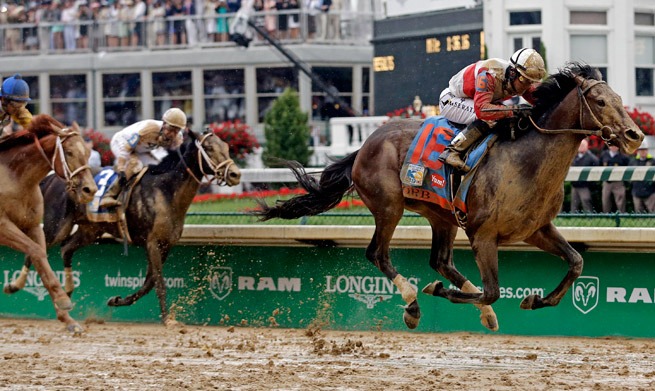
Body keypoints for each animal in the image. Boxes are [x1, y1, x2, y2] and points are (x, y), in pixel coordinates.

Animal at [0, 115, 97, 334]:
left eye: (88, 153)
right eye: (69, 152)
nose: (90, 190)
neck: (15, 179)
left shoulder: (34, 226)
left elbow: (39, 256)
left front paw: (67, 318)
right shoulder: (2, 227)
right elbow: (36, 251)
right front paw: (62, 298)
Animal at [5, 130, 241, 326]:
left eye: (227, 146)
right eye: (208, 148)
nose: (235, 174)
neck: (166, 191)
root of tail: (53, 177)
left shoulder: (166, 245)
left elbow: (148, 283)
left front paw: (116, 300)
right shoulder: (152, 243)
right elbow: (159, 283)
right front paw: (168, 319)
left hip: (90, 231)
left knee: (66, 249)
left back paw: (67, 294)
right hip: (57, 227)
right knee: (36, 250)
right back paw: (15, 285)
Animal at [255, 63, 644, 330]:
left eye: (620, 100)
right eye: (599, 101)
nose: (635, 135)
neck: (526, 161)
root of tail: (365, 145)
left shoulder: (536, 229)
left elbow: (575, 263)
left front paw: (535, 300)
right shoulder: (484, 236)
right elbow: (492, 289)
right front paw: (438, 292)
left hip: (442, 216)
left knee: (440, 261)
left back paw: (483, 314)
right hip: (389, 207)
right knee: (378, 254)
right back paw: (413, 303)